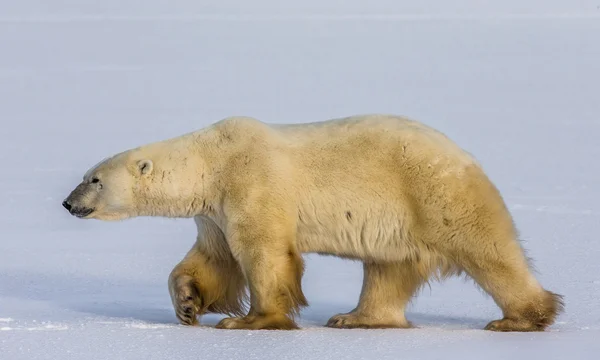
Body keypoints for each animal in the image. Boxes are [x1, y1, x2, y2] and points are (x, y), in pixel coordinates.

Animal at [63, 114, 564, 330]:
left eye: (94, 179)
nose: (68, 203)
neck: (211, 161)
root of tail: (466, 156)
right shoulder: (214, 212)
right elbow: (212, 259)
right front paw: (187, 304)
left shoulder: (252, 182)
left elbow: (263, 253)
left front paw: (251, 321)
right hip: (401, 221)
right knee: (388, 270)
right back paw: (355, 318)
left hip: (434, 194)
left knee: (488, 252)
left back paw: (522, 318)